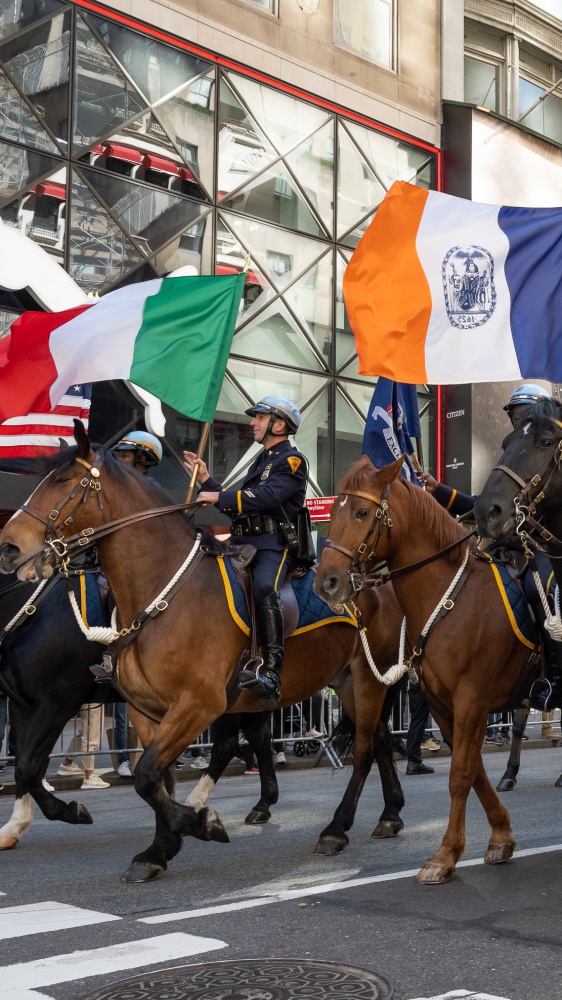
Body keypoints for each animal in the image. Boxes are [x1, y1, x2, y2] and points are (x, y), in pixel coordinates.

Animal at [0, 422, 402, 884]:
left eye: (64, 480)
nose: (9, 546)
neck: (164, 589)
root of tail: (375, 578)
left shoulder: (186, 703)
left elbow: (134, 774)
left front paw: (197, 825)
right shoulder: (140, 709)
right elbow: (150, 778)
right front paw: (159, 849)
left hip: (365, 681)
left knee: (361, 748)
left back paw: (334, 828)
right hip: (340, 685)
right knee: (372, 739)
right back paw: (388, 814)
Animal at [312, 454, 536, 884]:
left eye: (362, 512)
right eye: (330, 511)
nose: (326, 583)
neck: (451, 598)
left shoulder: (471, 700)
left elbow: (460, 774)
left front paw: (444, 855)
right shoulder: (442, 703)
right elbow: (473, 769)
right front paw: (500, 835)